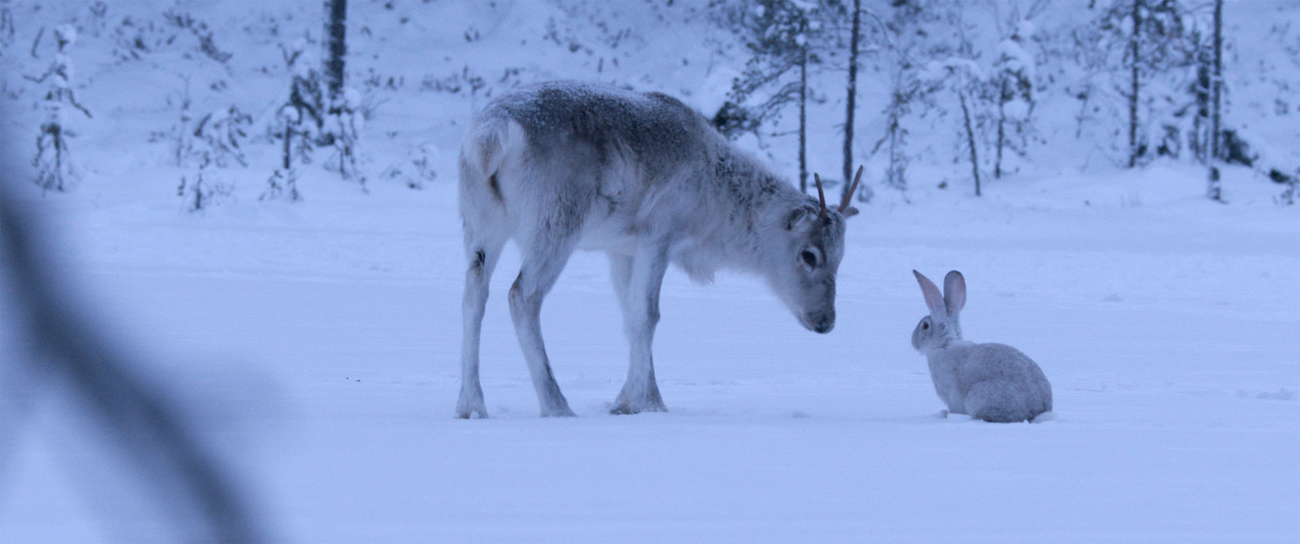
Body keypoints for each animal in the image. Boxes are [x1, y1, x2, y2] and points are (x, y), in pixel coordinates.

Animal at [909, 269, 1050, 421]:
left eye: (925, 326)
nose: (913, 341)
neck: (945, 344)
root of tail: (1039, 409)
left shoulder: (951, 391)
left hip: (983, 395)